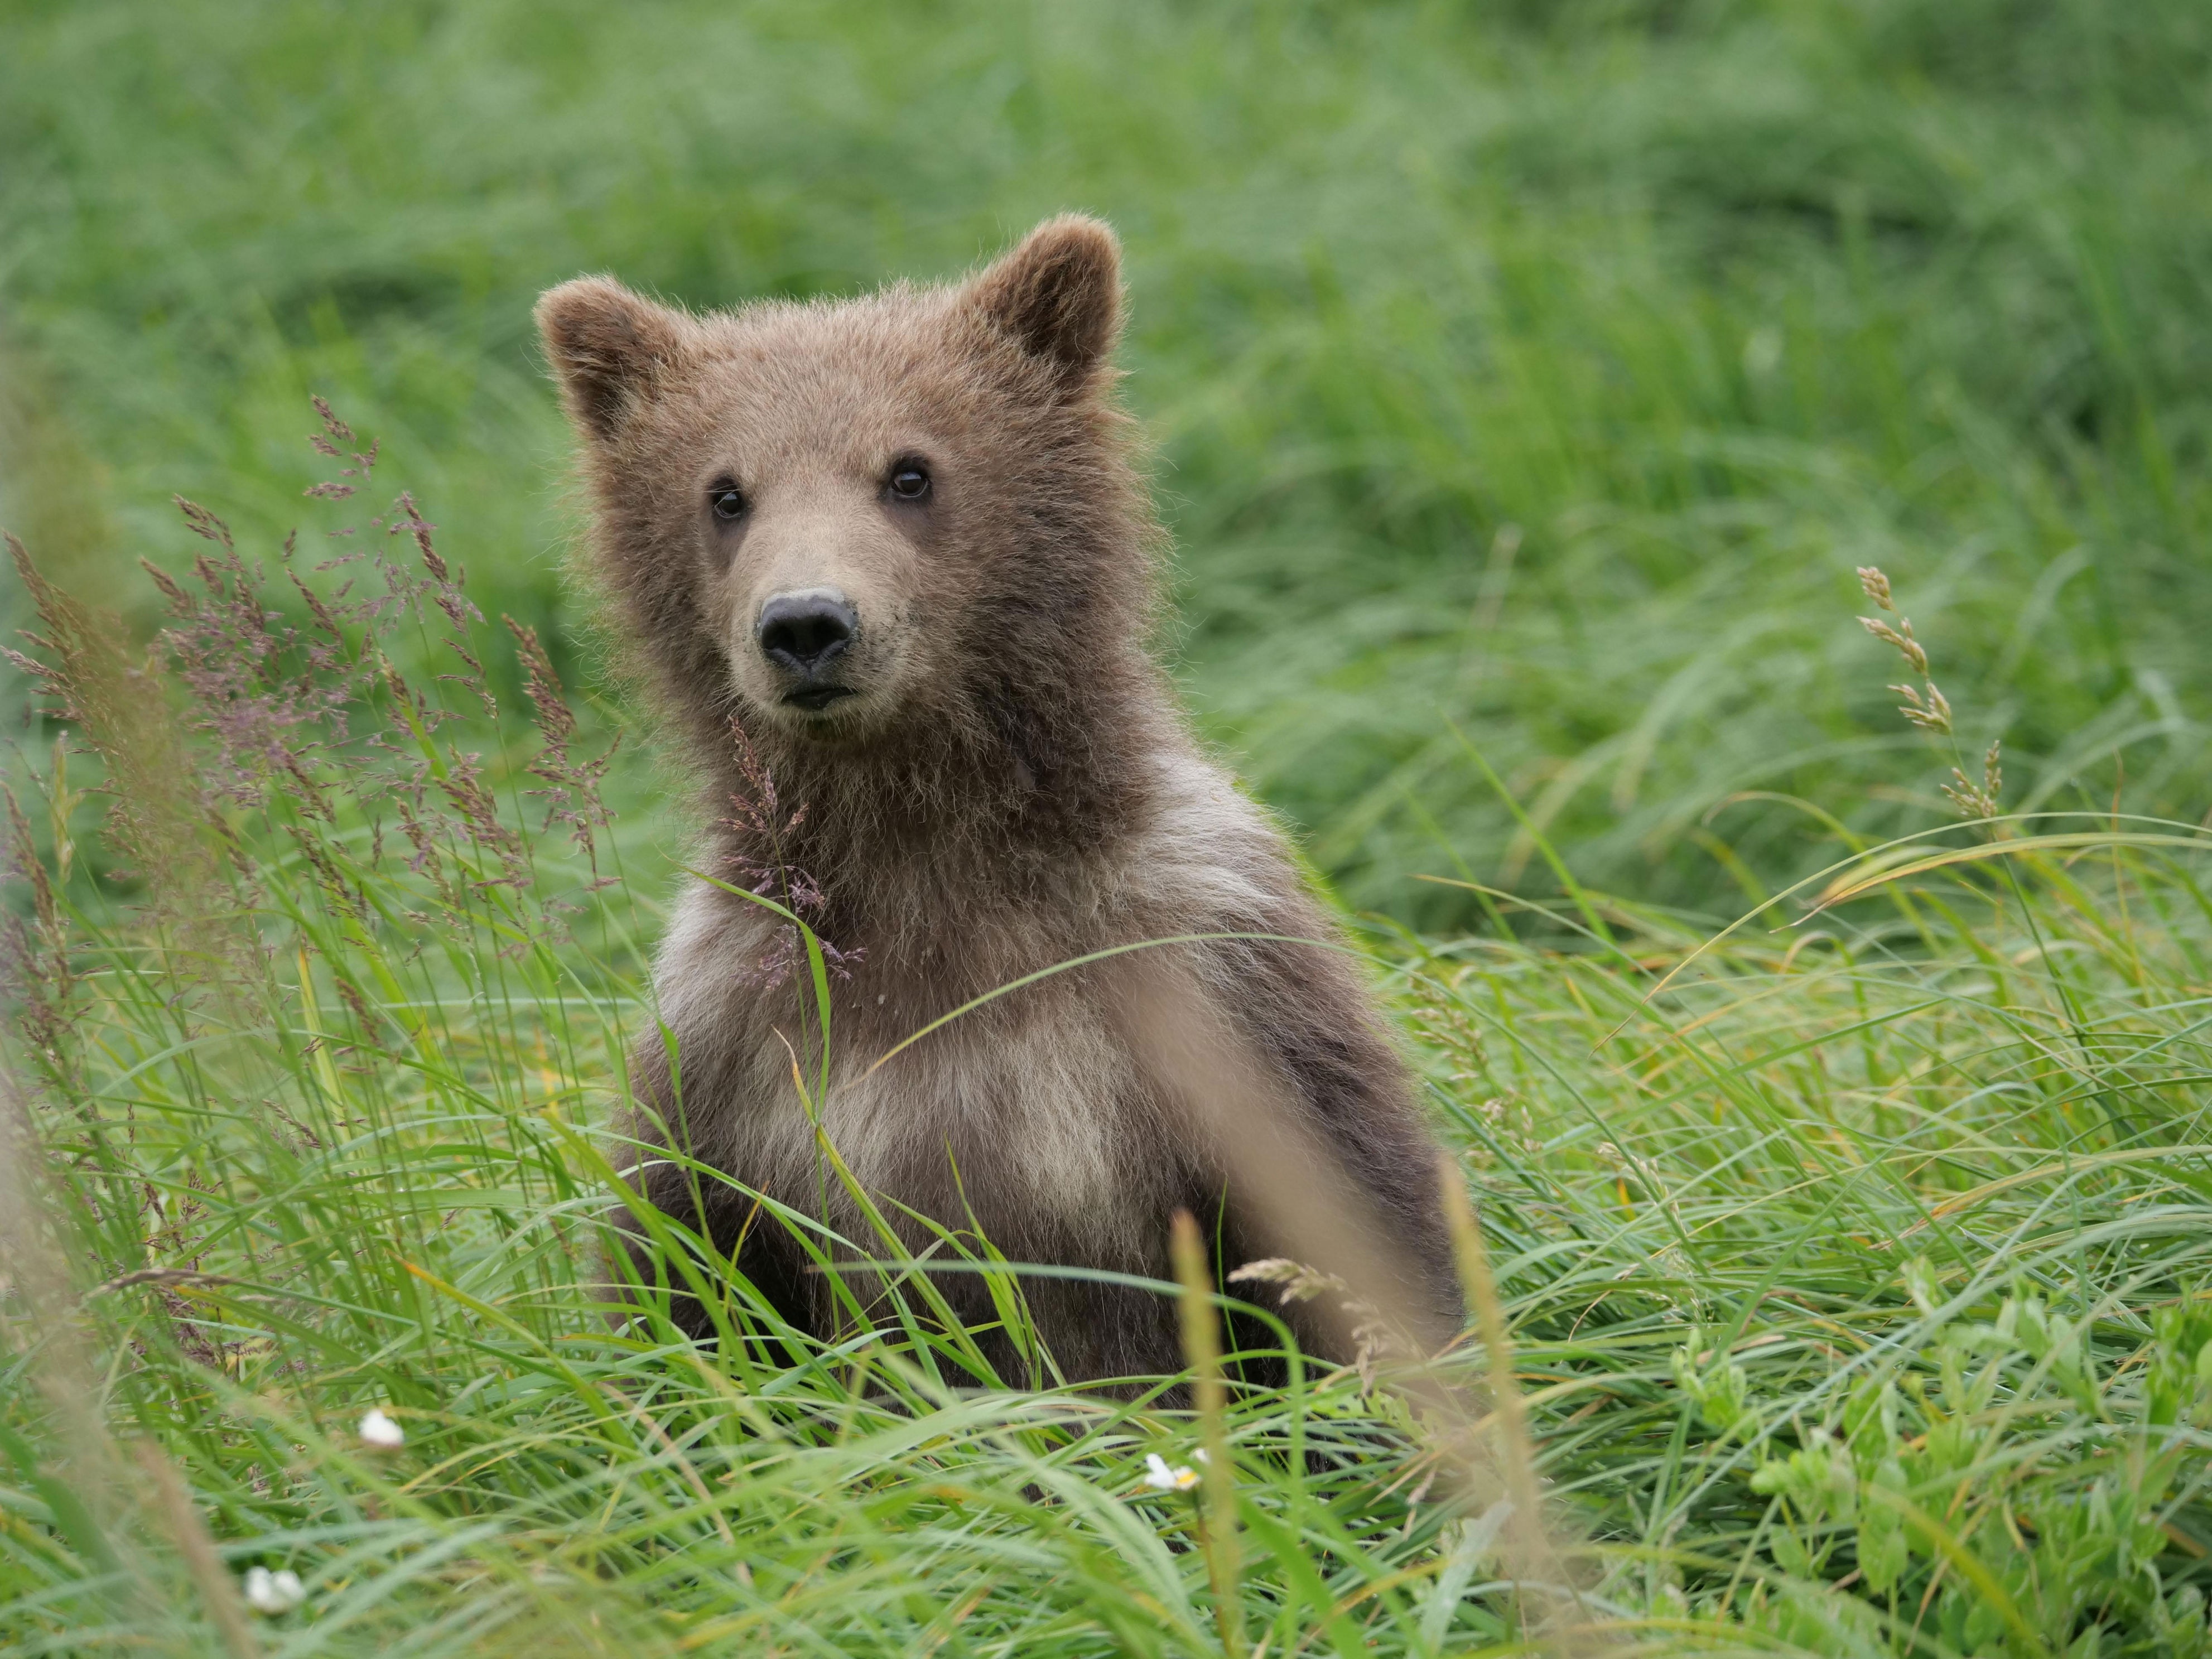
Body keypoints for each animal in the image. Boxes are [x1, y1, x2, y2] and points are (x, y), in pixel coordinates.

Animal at [537, 216, 1458, 1386]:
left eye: (910, 470)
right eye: (726, 491)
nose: (807, 624)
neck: (923, 846)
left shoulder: (1212, 981)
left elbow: (1352, 1235)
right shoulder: (730, 1046)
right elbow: (687, 1286)